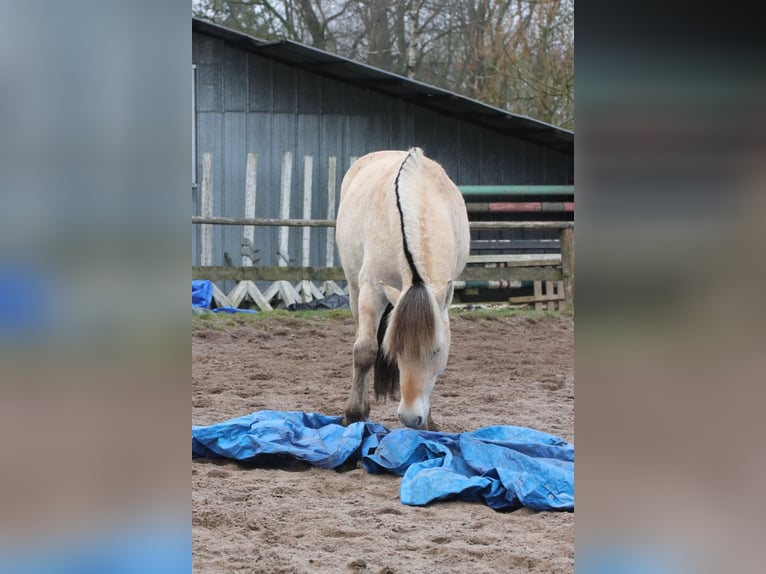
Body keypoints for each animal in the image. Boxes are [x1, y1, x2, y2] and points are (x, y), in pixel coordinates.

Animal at [338, 148, 472, 432]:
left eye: (436, 351)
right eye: (396, 350)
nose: (411, 418)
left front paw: (428, 423)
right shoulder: (371, 290)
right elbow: (365, 351)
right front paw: (354, 414)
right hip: (355, 289)